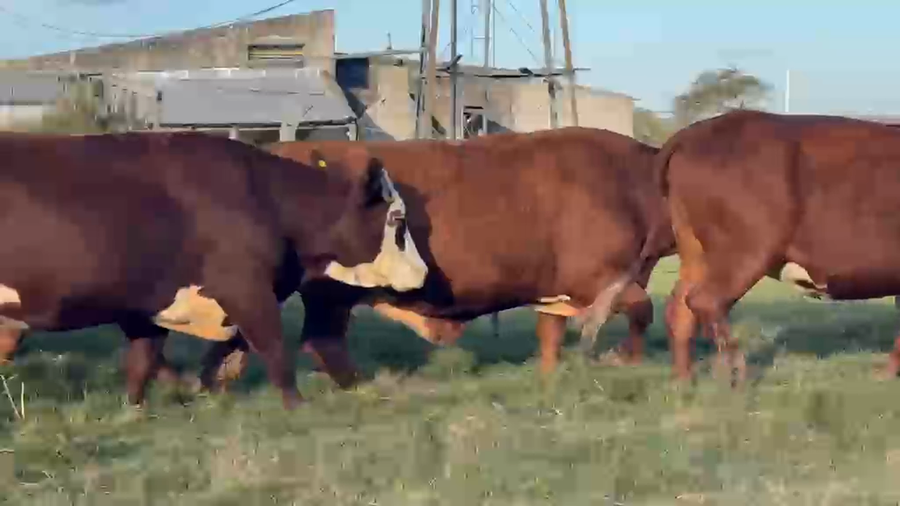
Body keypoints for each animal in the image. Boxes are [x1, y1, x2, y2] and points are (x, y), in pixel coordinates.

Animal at [0, 131, 428, 409]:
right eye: (398, 220)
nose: (423, 272)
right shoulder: (247, 290)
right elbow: (275, 349)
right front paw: (298, 407)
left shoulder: (148, 305)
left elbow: (142, 361)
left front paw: (135, 411)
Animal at [191, 127, 676, 392]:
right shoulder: (599, 279)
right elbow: (641, 310)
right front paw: (624, 358)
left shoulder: (555, 289)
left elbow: (551, 335)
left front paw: (549, 375)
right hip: (329, 292)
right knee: (319, 339)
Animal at [619, 109, 900, 383]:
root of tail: (695, 132)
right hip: (747, 252)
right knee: (705, 301)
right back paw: (736, 372)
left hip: (696, 252)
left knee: (680, 309)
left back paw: (684, 381)